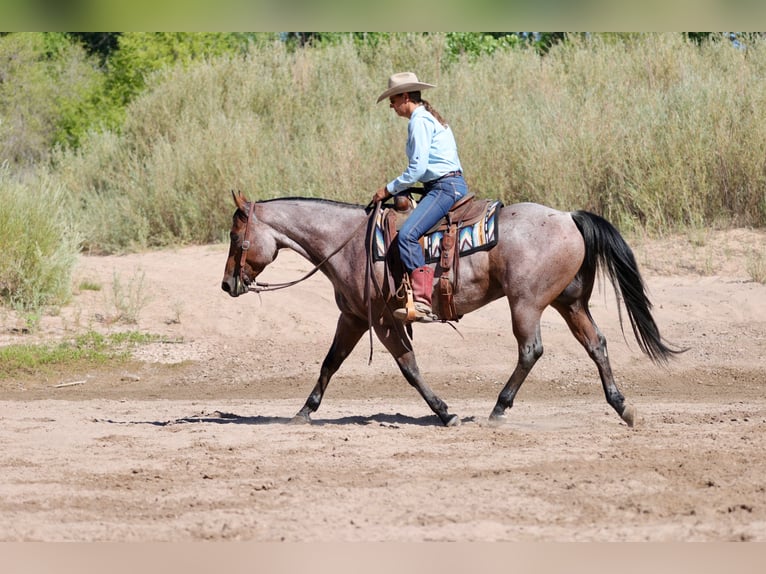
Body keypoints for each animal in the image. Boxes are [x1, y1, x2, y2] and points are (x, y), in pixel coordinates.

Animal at [221, 192, 683, 427]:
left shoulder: (384, 320)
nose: (227, 284)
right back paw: (623, 407)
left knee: (530, 350)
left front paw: (445, 413)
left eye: (236, 237)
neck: (349, 243)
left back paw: (498, 409)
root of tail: (569, 217)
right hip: (568, 303)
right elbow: (330, 363)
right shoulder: (352, 317)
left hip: (527, 303)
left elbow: (409, 367)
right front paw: (303, 411)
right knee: (597, 344)